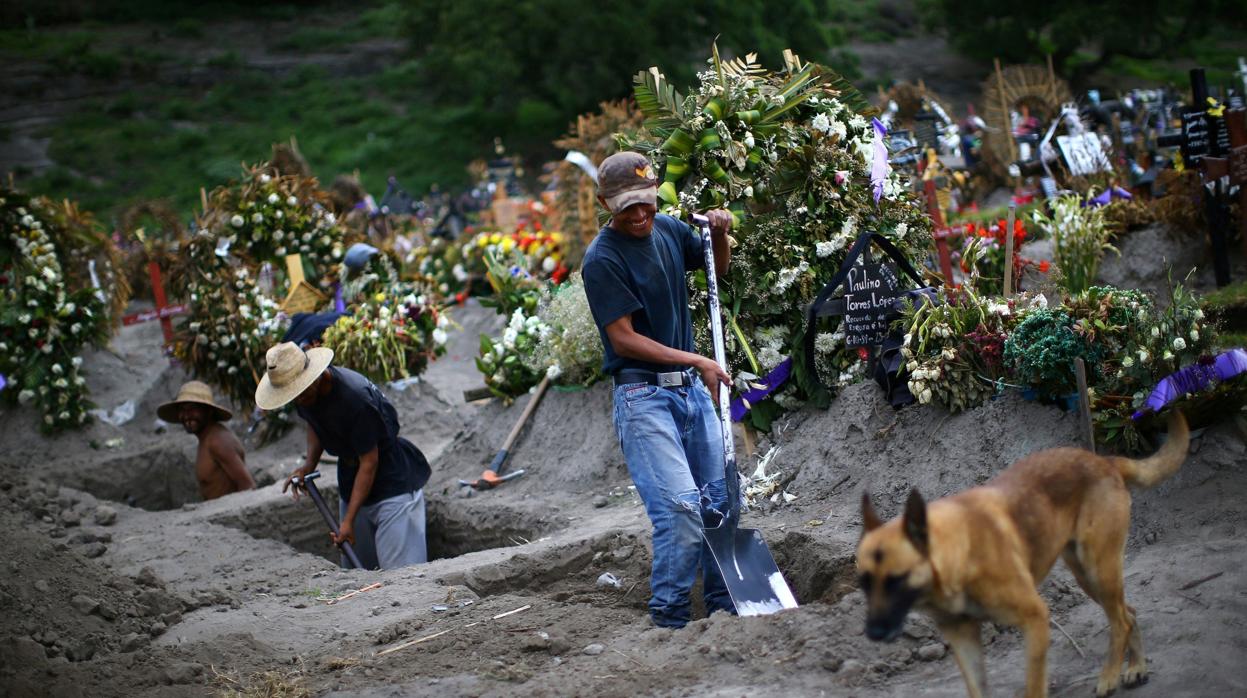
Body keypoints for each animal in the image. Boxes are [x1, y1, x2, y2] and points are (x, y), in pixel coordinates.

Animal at [857, 408, 1187, 698]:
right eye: (864, 582)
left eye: (896, 579)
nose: (872, 633)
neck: (957, 554)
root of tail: (1104, 461)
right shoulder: (963, 639)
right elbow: (977, 690)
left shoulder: (1035, 619)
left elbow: (1034, 686)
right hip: (1087, 577)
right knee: (1129, 613)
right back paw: (1135, 667)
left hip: (1099, 570)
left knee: (1120, 621)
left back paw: (1109, 677)